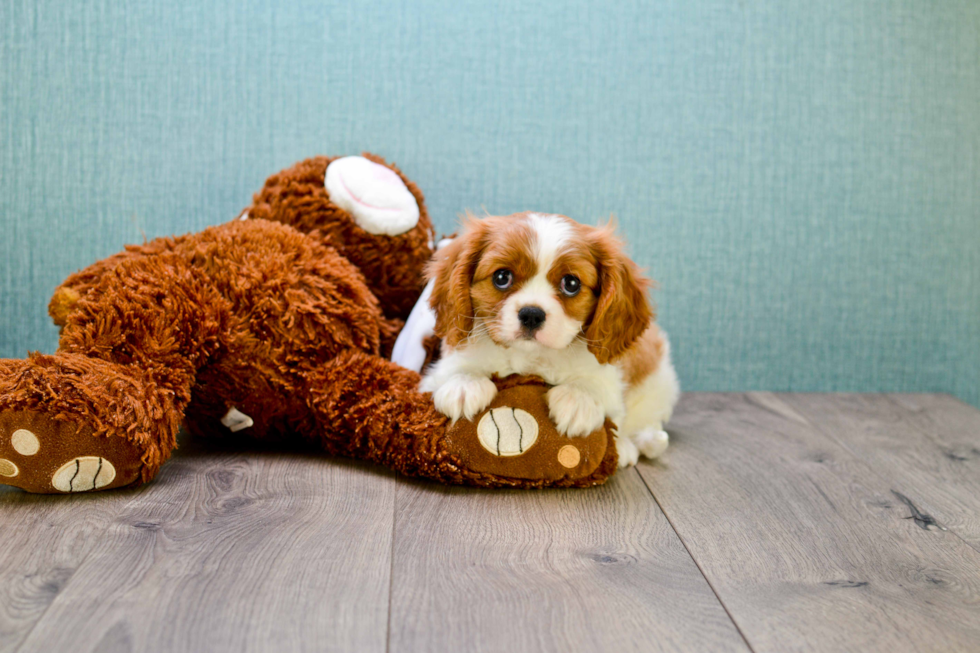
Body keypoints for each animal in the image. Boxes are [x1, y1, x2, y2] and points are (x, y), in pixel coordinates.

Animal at [422, 211, 680, 466]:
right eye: (502, 277)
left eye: (571, 284)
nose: (531, 314)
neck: (531, 356)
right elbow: (457, 368)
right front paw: (464, 384)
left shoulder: (611, 376)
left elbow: (598, 385)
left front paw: (578, 399)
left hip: (659, 384)